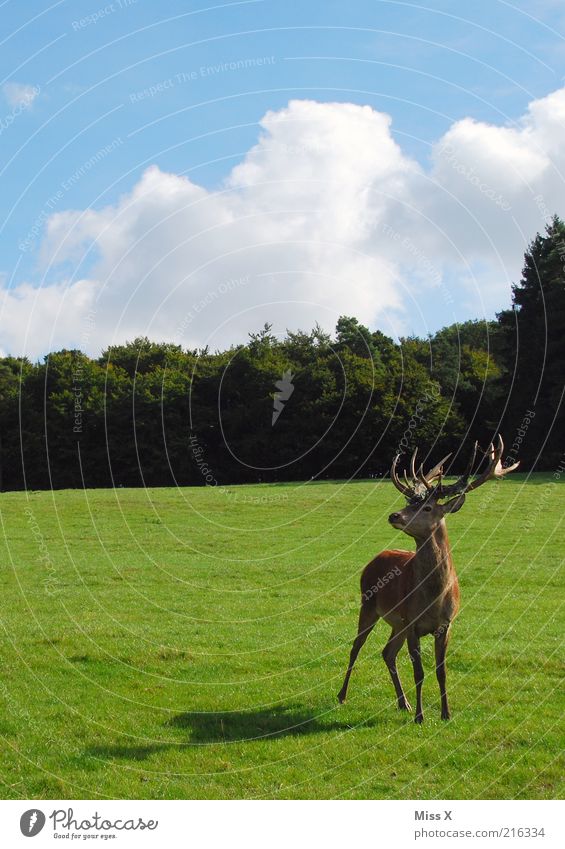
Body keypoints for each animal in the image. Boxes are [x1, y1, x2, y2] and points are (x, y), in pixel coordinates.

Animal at [338, 438, 516, 724]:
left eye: (427, 507)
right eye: (409, 502)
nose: (394, 515)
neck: (434, 598)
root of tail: (375, 558)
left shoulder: (446, 624)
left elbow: (441, 671)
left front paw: (446, 713)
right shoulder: (413, 624)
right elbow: (419, 672)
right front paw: (421, 717)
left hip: (397, 622)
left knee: (387, 652)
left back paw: (404, 703)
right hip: (369, 606)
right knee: (356, 648)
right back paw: (342, 695)